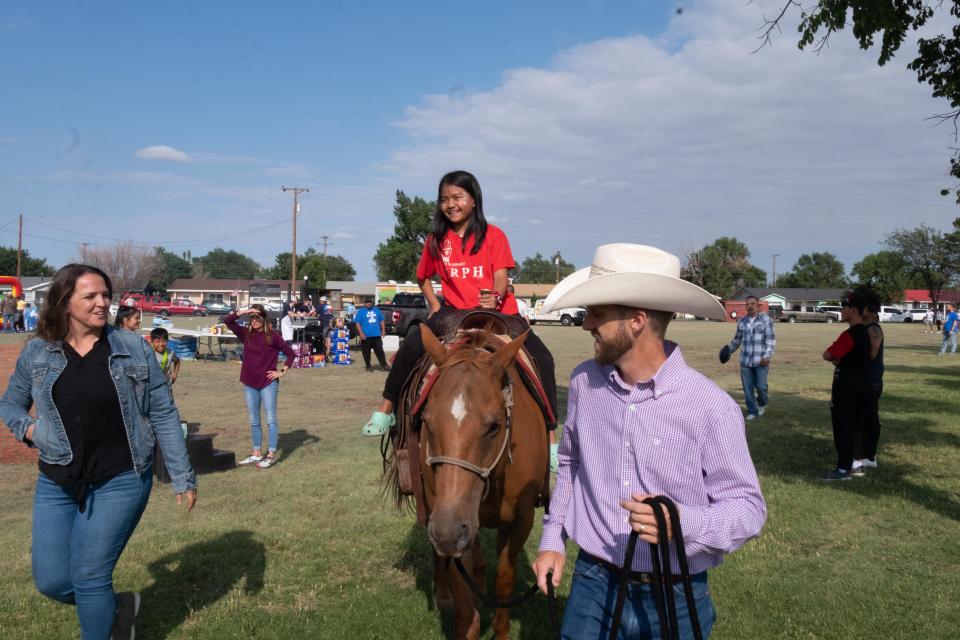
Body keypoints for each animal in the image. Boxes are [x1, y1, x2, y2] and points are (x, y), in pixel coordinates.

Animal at [418, 324, 548, 640]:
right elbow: (465, 609)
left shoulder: (521, 519)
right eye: (427, 422)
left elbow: (504, 578)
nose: (447, 531)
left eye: (494, 426)